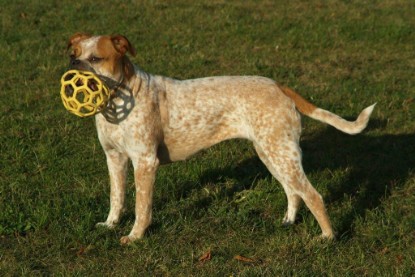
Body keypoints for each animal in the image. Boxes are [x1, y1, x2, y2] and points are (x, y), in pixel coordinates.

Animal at [66, 33, 376, 244]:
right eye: (74, 53)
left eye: (95, 59)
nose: (74, 64)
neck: (118, 101)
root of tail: (279, 86)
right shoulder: (114, 159)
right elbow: (116, 198)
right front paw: (110, 225)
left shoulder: (144, 162)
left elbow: (142, 208)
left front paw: (135, 237)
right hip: (272, 154)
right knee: (293, 192)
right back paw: (288, 221)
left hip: (280, 156)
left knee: (313, 195)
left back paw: (327, 238)